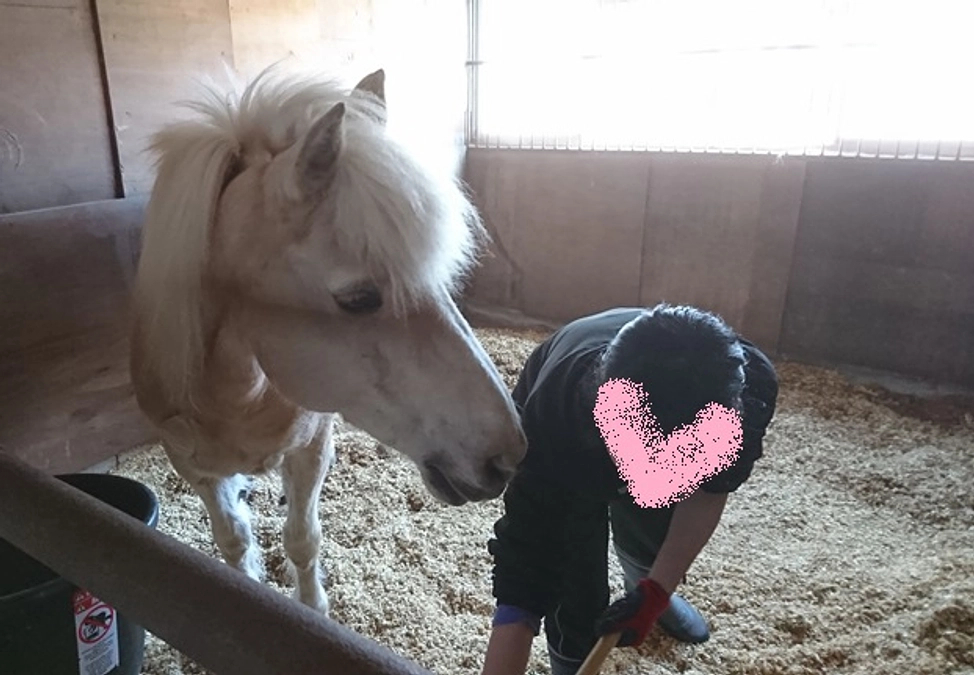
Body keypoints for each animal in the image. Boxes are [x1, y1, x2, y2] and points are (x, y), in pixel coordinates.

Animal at [128, 64, 527, 615]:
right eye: (358, 298)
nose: (508, 456)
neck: (236, 395)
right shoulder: (193, 467)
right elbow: (232, 540)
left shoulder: (311, 449)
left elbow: (302, 539)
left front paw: (313, 608)